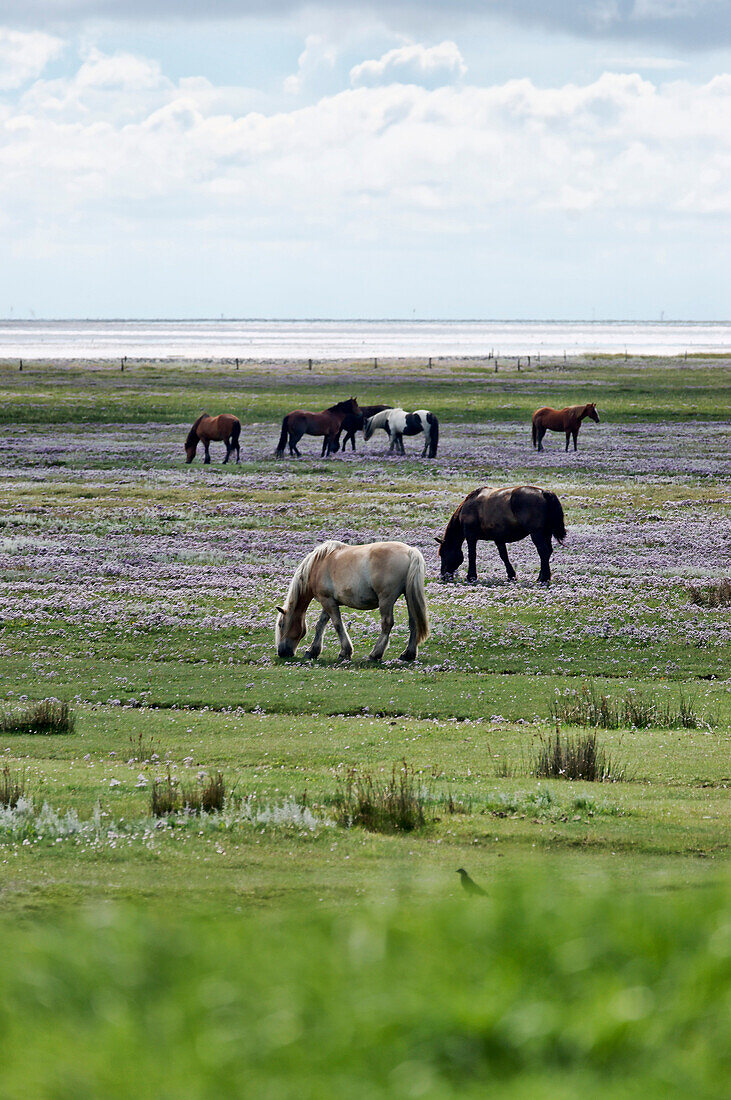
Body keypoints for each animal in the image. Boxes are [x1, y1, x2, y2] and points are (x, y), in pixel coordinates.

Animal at [277, 541, 430, 660]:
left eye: (281, 624)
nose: (281, 652)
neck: (317, 565)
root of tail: (410, 551)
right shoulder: (329, 602)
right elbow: (320, 625)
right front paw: (312, 651)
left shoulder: (327, 601)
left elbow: (337, 625)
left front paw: (345, 652)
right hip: (408, 596)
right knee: (414, 622)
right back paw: (408, 654)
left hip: (386, 599)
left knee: (387, 624)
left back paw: (375, 654)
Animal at [435, 484, 567, 585]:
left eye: (443, 554)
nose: (443, 576)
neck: (468, 508)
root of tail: (544, 492)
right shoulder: (498, 539)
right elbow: (504, 556)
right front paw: (511, 576)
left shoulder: (471, 537)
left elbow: (472, 555)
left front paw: (471, 577)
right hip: (546, 533)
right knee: (548, 552)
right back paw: (543, 577)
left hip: (537, 533)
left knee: (543, 552)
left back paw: (542, 579)